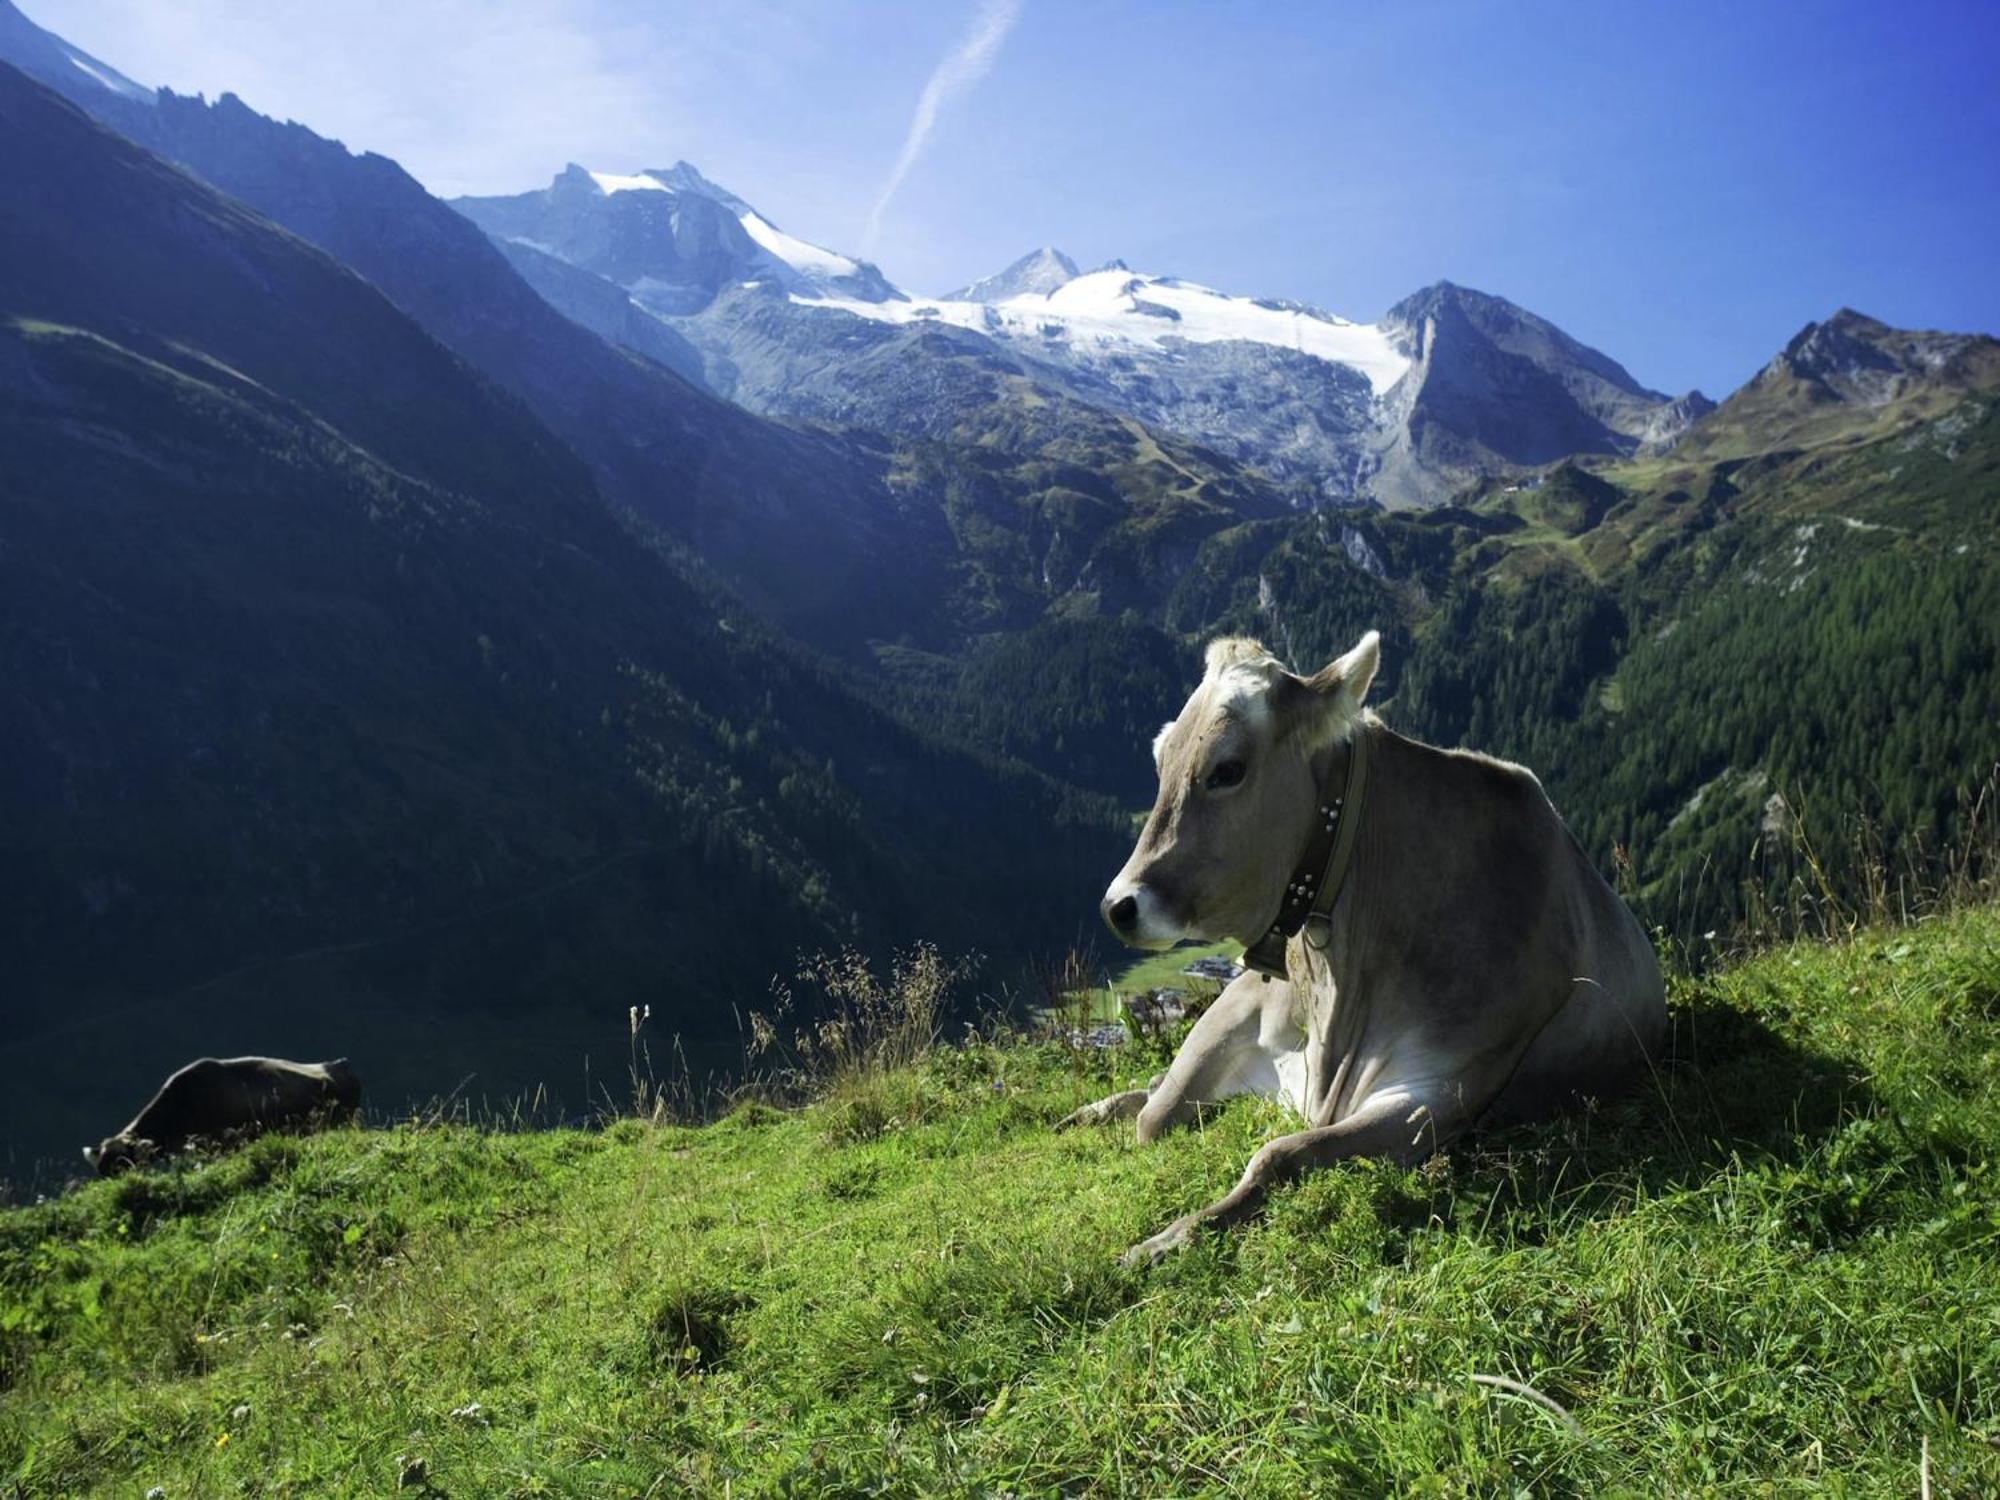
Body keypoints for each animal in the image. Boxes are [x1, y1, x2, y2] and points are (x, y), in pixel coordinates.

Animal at [1072, 632, 1664, 1272]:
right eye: (1162, 759)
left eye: (1227, 769)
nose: (1117, 905)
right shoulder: (1243, 1008)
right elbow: (1156, 1116)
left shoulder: (1436, 1091)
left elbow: (1278, 1154)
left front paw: (1170, 1238)